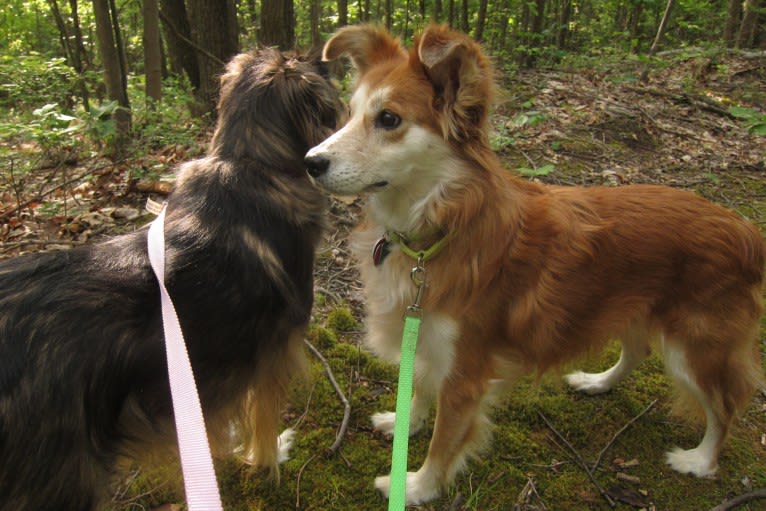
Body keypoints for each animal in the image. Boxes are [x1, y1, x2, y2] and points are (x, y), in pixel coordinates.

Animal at [0, 48, 342, 511]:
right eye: (298, 56)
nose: (330, 59)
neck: (248, 161)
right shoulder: (272, 356)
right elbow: (262, 421)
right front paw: (268, 457)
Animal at [308, 24, 766, 504]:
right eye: (350, 114)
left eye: (389, 119)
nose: (309, 162)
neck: (440, 228)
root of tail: (745, 230)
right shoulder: (427, 337)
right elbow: (418, 388)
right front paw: (405, 423)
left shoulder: (465, 373)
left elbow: (444, 441)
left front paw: (417, 486)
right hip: (635, 306)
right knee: (638, 349)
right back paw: (598, 382)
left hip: (697, 348)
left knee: (725, 407)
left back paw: (701, 461)